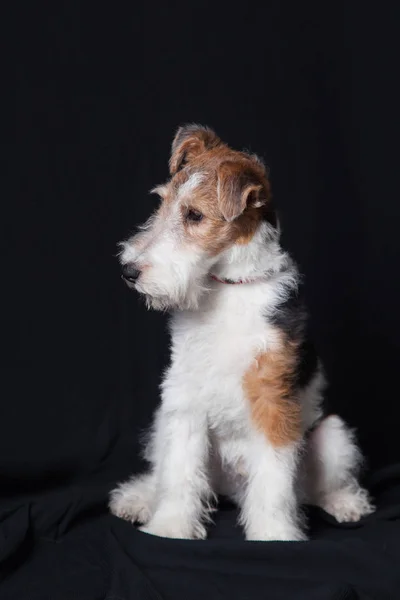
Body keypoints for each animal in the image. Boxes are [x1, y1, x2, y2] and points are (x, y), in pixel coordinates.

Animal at [108, 124, 372, 540]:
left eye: (194, 215)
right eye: (162, 202)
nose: (129, 271)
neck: (229, 288)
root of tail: (231, 486)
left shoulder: (271, 400)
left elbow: (275, 482)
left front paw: (275, 535)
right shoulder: (184, 396)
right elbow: (179, 475)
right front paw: (169, 527)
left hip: (332, 435)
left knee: (316, 487)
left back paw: (346, 503)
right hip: (165, 423)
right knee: (165, 472)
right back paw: (137, 499)